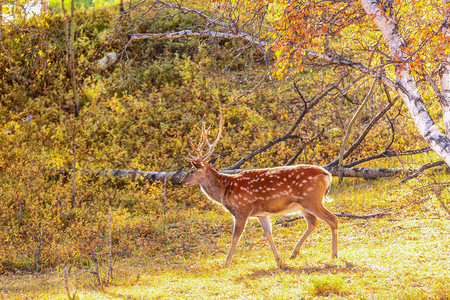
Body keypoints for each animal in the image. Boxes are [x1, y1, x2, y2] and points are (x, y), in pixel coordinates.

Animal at [181, 113, 336, 268]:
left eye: (192, 171)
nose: (181, 181)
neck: (226, 190)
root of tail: (327, 174)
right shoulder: (261, 214)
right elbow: (268, 233)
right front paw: (278, 260)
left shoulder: (242, 210)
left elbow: (235, 238)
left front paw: (225, 265)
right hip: (302, 204)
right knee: (313, 222)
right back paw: (294, 253)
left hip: (311, 199)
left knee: (332, 218)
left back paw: (333, 255)